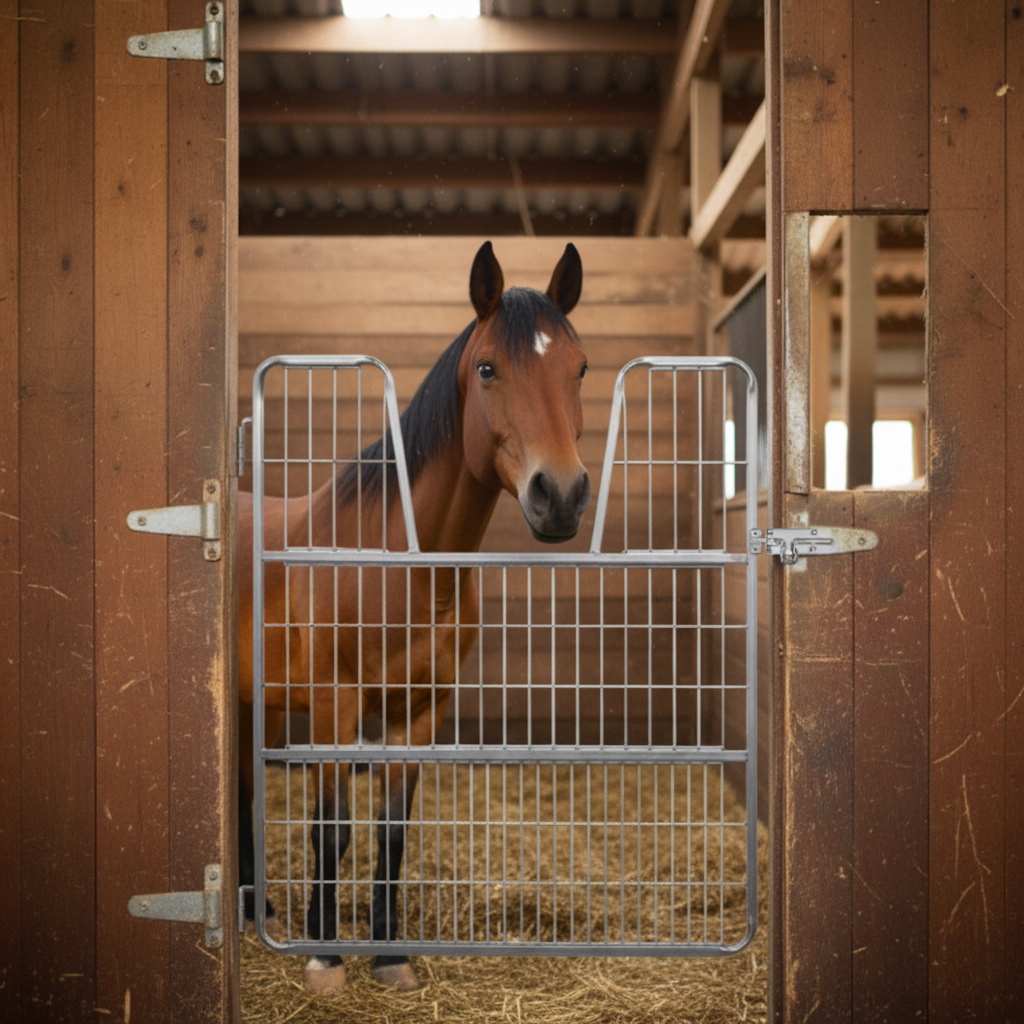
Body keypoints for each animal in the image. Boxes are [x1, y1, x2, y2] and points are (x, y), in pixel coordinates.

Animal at [237, 241, 591, 992]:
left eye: (579, 367)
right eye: (487, 367)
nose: (561, 494)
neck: (399, 562)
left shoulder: (419, 710)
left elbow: (391, 831)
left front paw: (389, 956)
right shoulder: (336, 706)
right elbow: (332, 829)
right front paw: (325, 956)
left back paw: (262, 910)